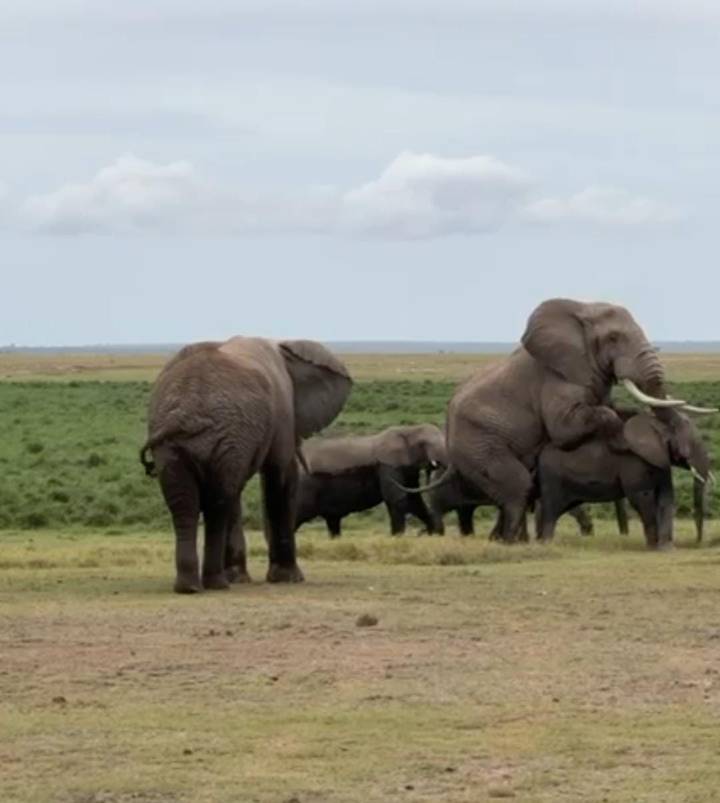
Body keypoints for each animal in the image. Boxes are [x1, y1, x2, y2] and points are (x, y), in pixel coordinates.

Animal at [140, 337, 352, 593]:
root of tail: (183, 415)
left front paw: (239, 577)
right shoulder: (282, 413)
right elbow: (279, 477)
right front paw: (288, 578)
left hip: (175, 445)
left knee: (189, 504)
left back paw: (190, 587)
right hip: (220, 435)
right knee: (218, 502)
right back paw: (216, 584)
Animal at [295, 424, 446, 536]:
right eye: (424, 444)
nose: (421, 533)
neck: (409, 429)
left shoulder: (408, 470)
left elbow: (414, 500)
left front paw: (434, 534)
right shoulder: (389, 466)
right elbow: (397, 499)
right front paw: (397, 538)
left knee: (333, 523)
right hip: (305, 489)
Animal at [536, 411, 712, 547]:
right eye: (693, 444)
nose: (697, 542)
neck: (657, 424)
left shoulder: (660, 460)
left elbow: (665, 496)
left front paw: (666, 548)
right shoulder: (634, 463)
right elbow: (642, 497)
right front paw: (653, 546)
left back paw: (540, 541)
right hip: (553, 477)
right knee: (552, 509)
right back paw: (546, 544)